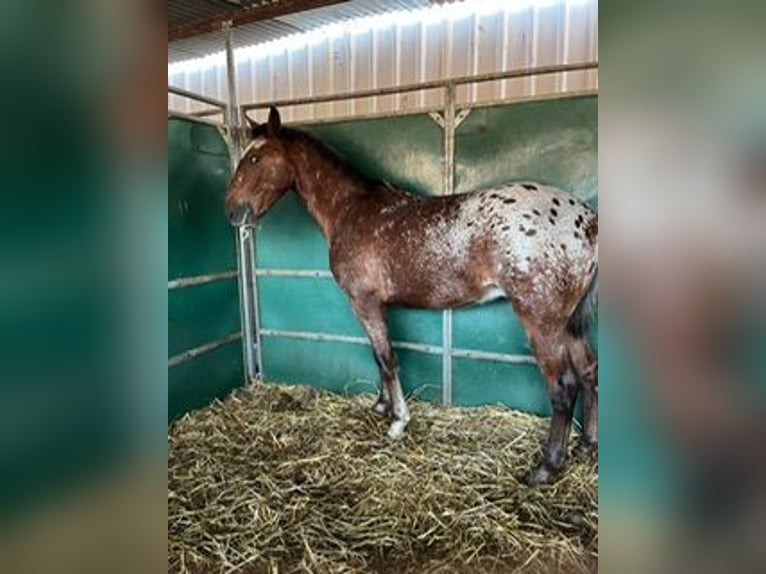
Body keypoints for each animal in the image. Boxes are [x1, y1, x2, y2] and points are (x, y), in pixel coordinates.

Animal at [226, 108, 600, 486]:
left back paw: (546, 466)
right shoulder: (377, 305)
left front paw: (398, 421)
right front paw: (382, 406)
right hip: (570, 323)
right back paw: (587, 445)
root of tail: (587, 221)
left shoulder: (364, 302)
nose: (232, 212)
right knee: (588, 371)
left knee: (564, 385)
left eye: (255, 157)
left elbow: (387, 357)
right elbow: (379, 357)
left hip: (542, 322)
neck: (350, 210)